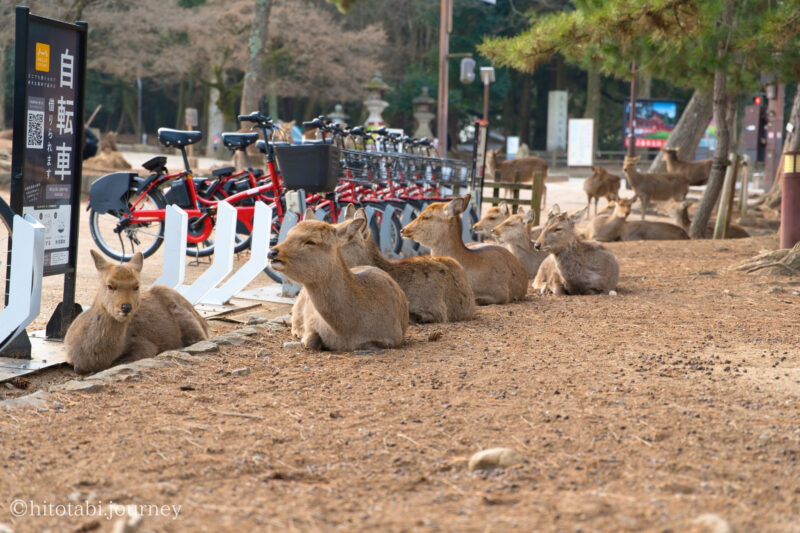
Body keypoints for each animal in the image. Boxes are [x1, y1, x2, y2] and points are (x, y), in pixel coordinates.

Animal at [64, 251, 209, 374]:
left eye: (137, 286)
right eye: (109, 285)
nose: (126, 307)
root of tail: (204, 323)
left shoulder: (145, 345)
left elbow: (118, 363)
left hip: (192, 326)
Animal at [269, 219, 408, 351]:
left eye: (311, 241)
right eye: (288, 235)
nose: (271, 253)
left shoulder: (395, 337)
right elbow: (311, 341)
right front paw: (304, 339)